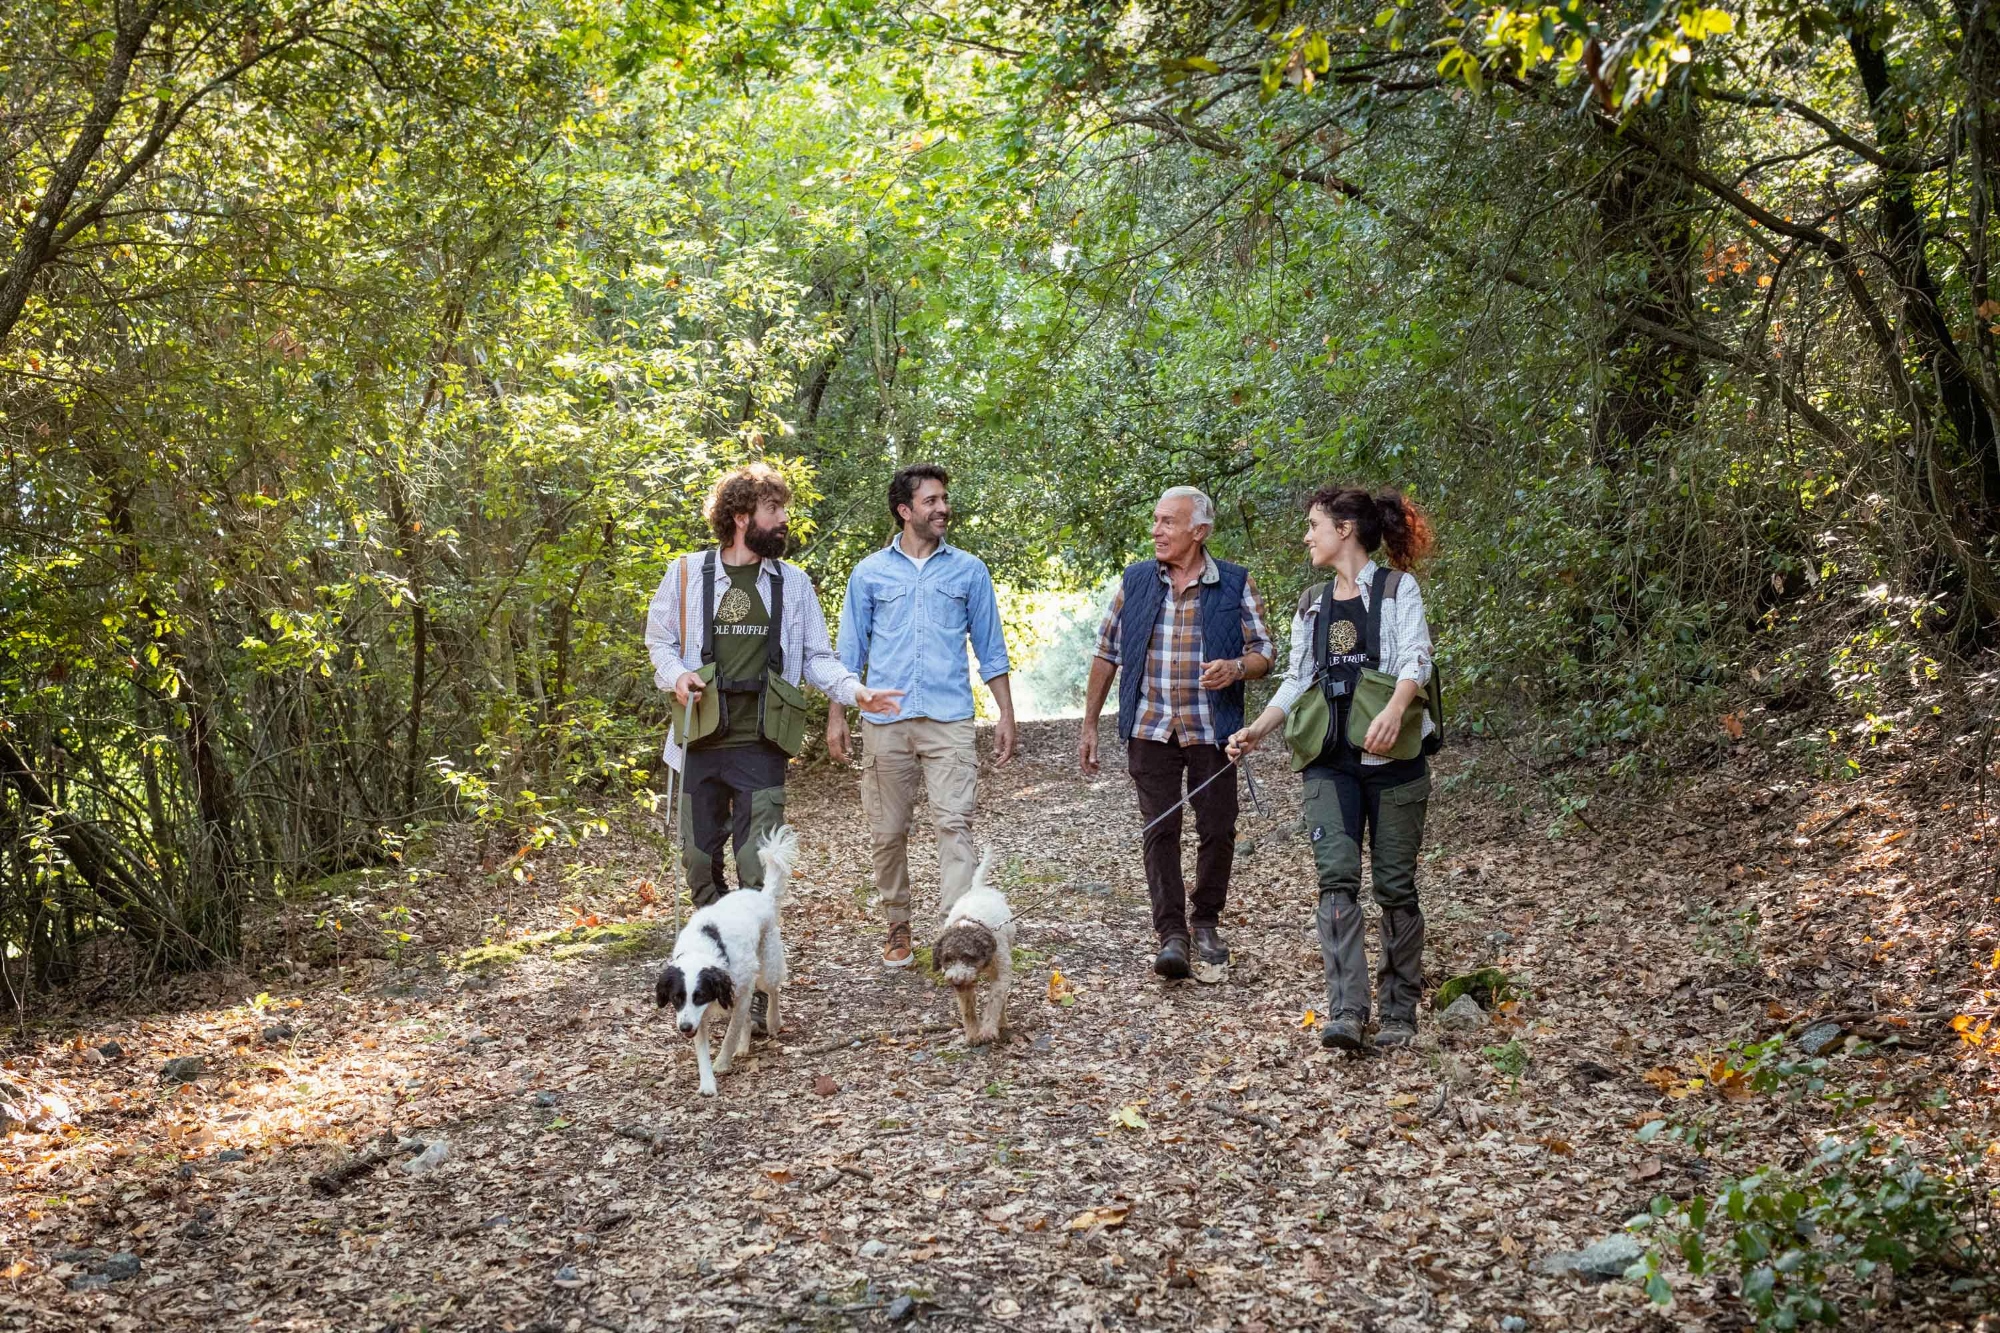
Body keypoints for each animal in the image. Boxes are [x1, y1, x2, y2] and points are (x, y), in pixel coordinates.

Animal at [648, 824, 788, 1096]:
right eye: (676, 998)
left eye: (700, 995)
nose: (683, 1028)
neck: (703, 948)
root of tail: (761, 896)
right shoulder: (698, 1015)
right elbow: (703, 1049)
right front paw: (707, 1083)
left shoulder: (739, 993)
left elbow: (731, 1033)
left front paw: (723, 1062)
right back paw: (744, 1046)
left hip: (767, 968)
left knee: (773, 991)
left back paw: (773, 1021)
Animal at [928, 844, 1016, 1040]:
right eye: (947, 958)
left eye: (969, 957)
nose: (956, 982)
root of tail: (977, 889)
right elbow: (967, 1008)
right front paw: (973, 1033)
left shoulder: (1001, 973)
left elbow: (994, 1001)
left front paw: (988, 1029)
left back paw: (1002, 1021)